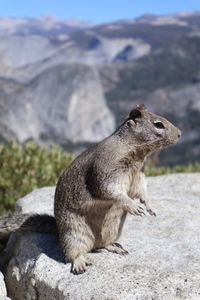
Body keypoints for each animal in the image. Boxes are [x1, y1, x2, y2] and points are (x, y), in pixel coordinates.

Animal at [0, 105, 181, 274]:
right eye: (158, 124)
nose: (179, 134)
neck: (135, 154)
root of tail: (58, 229)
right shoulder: (106, 169)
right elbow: (110, 190)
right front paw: (133, 206)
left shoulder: (138, 175)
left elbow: (141, 191)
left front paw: (150, 206)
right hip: (74, 234)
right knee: (73, 252)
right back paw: (79, 263)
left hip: (112, 229)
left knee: (100, 245)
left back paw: (114, 247)